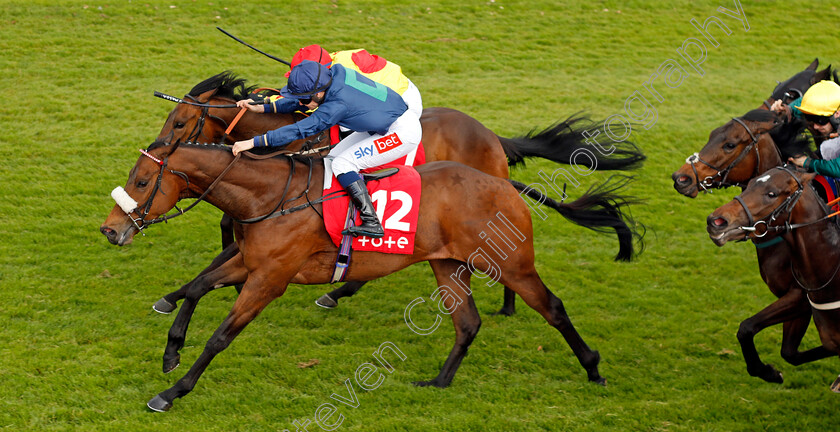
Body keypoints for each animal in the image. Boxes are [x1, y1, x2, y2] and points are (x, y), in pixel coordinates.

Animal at [97, 142, 636, 412]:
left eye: (141, 182)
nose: (110, 229)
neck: (270, 196)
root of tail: (504, 183)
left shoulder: (270, 278)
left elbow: (220, 336)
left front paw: (172, 392)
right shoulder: (250, 263)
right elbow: (195, 288)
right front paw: (170, 352)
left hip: (510, 264)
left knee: (553, 308)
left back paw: (593, 368)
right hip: (447, 265)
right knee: (467, 323)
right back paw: (438, 382)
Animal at [154, 71, 648, 314]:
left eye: (179, 123)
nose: (159, 147)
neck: (298, 137)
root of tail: (493, 137)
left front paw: (179, 294)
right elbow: (229, 232)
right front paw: (185, 292)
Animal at [712, 165, 840, 392]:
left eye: (772, 193)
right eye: (750, 183)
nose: (716, 221)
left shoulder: (798, 298)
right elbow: (781, 348)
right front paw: (769, 372)